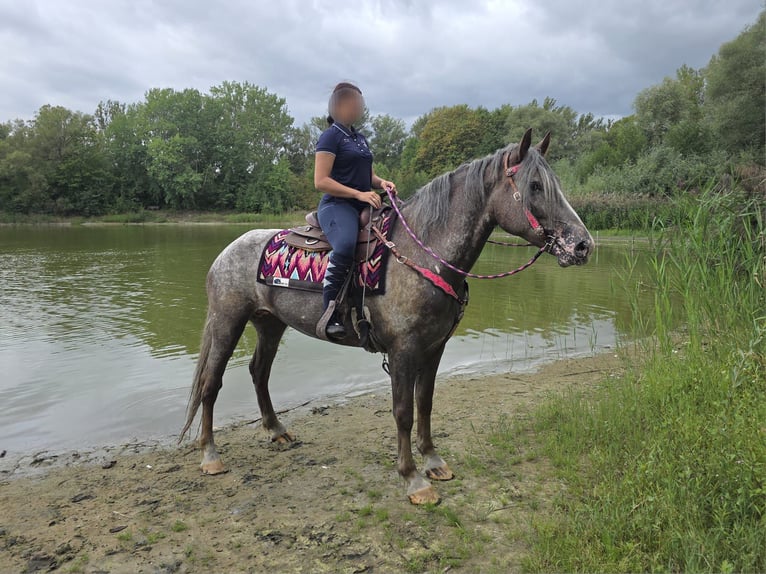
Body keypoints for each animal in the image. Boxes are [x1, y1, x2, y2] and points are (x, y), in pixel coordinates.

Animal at [180, 128, 593, 505]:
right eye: (535, 186)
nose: (583, 245)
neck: (421, 254)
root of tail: (226, 253)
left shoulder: (434, 347)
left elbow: (425, 403)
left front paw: (434, 462)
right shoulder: (403, 351)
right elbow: (403, 412)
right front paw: (413, 479)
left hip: (270, 323)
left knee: (258, 372)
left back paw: (276, 430)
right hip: (227, 321)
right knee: (211, 384)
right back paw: (210, 455)